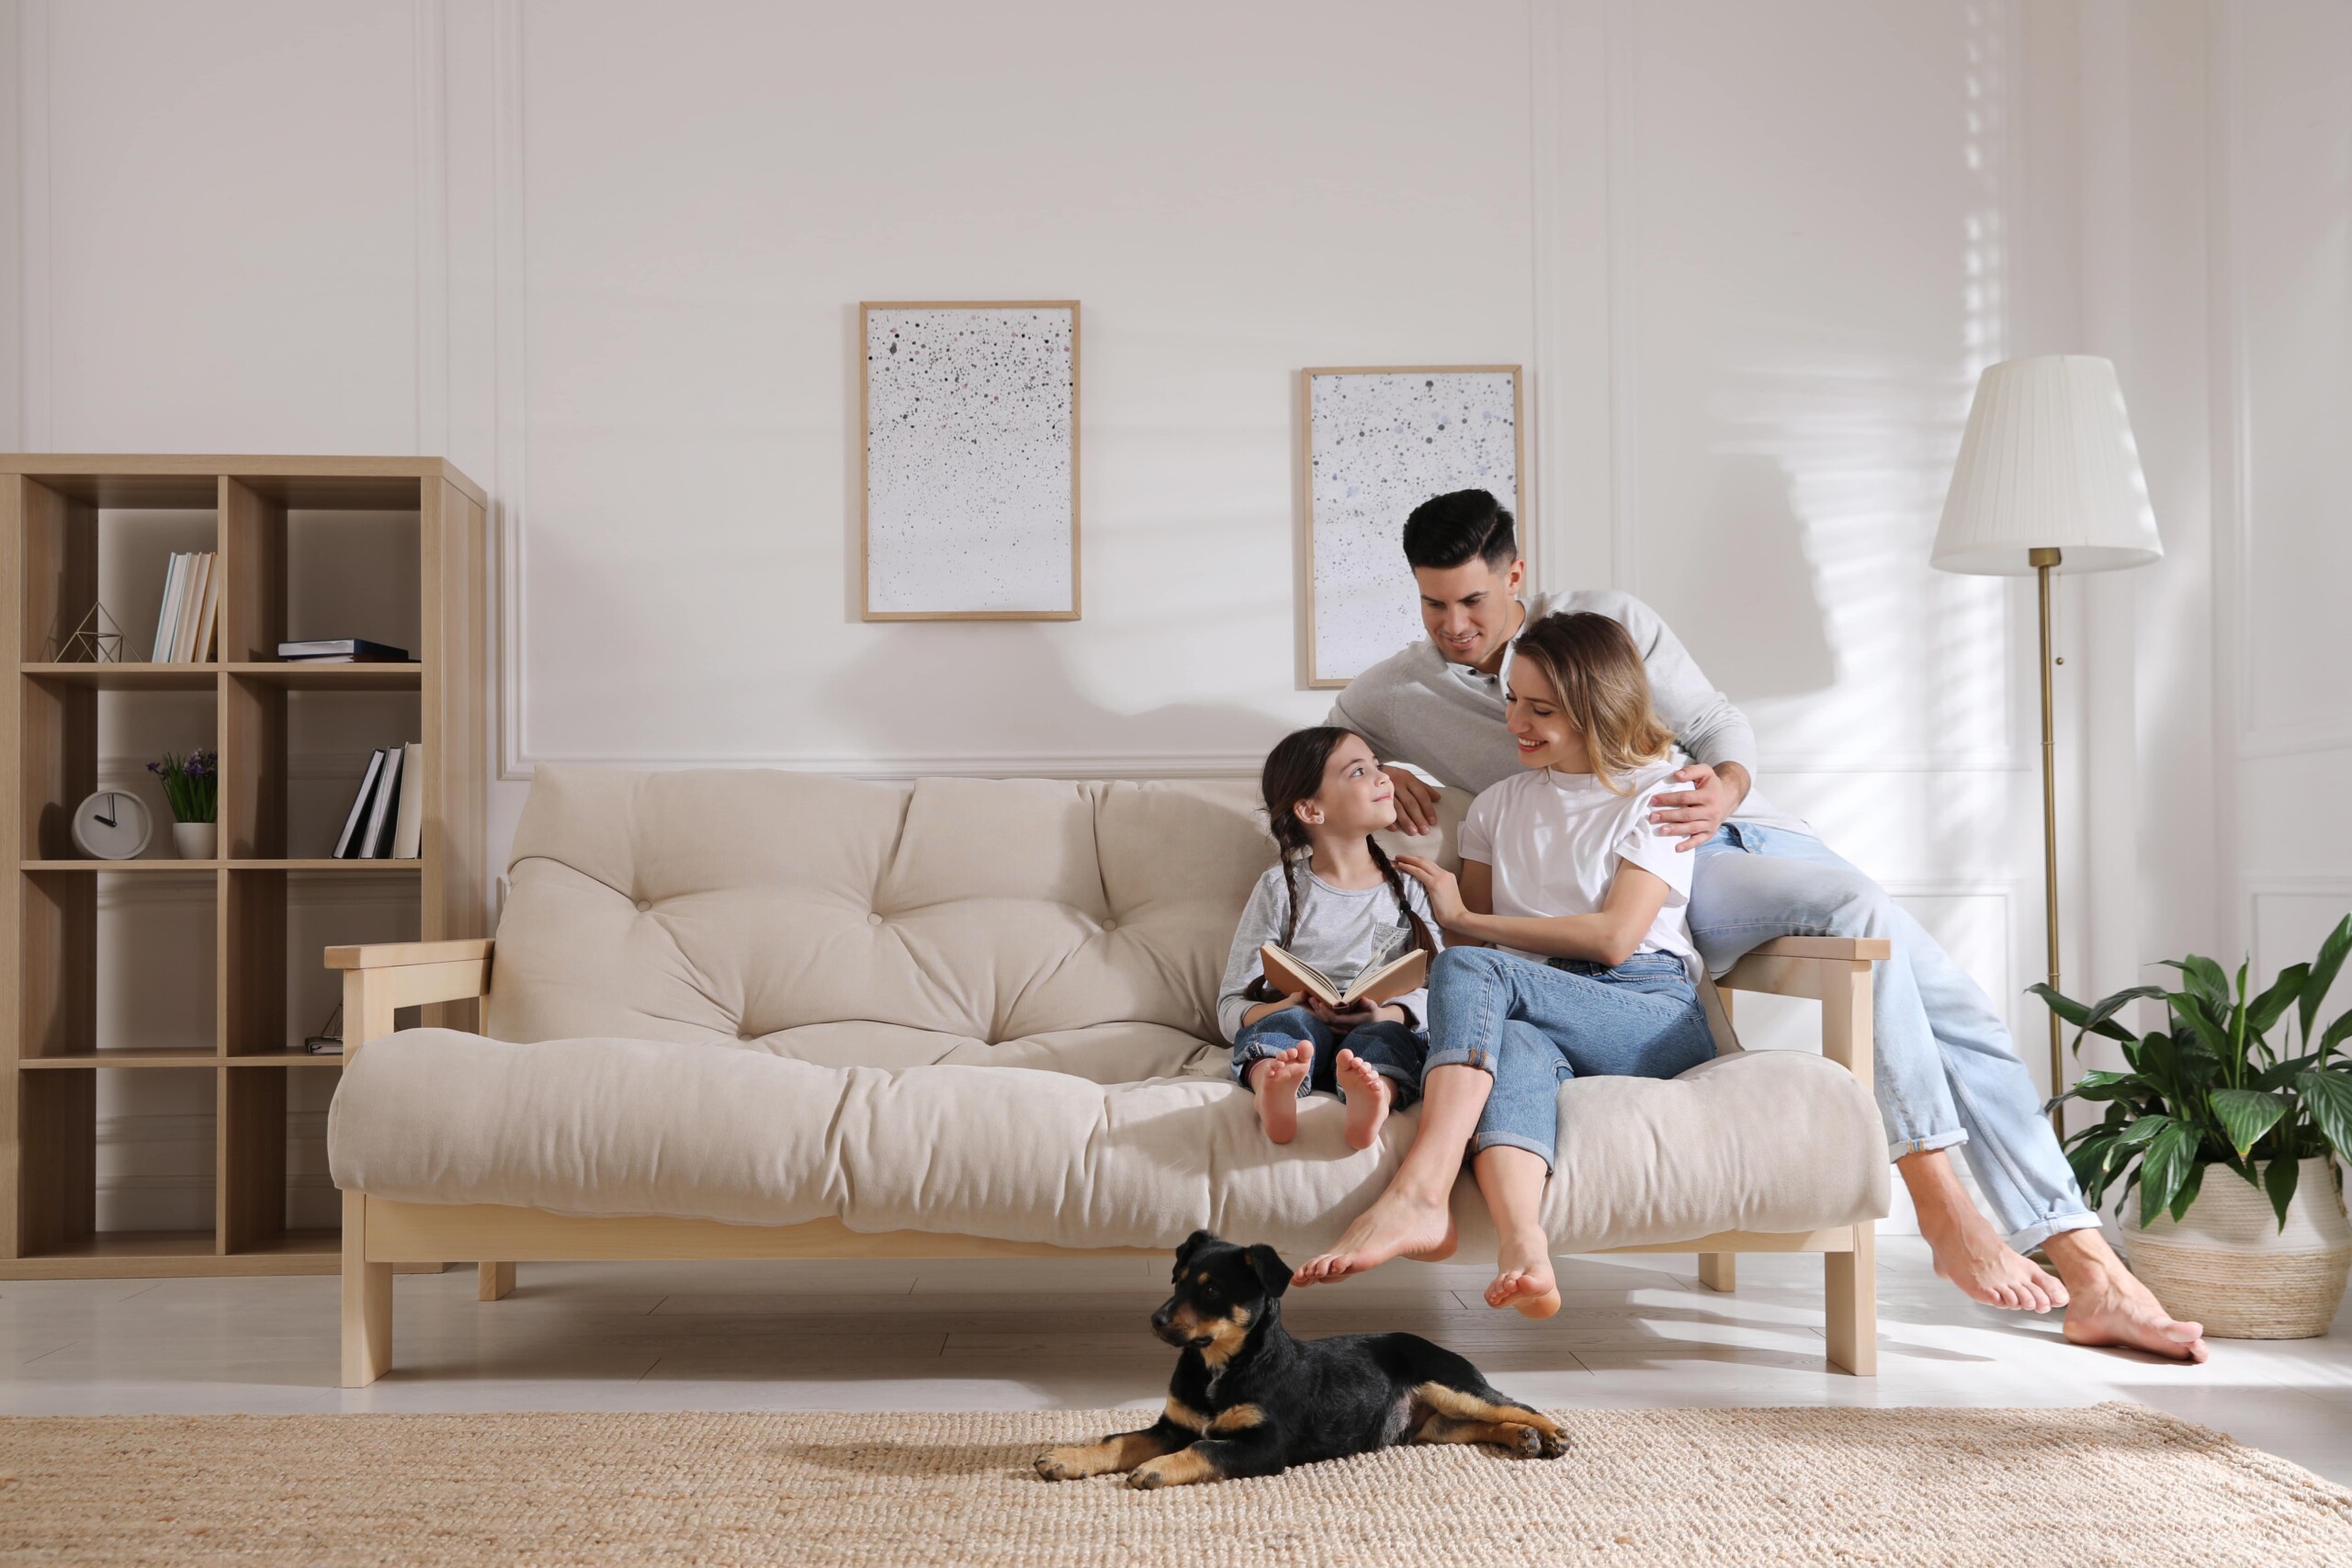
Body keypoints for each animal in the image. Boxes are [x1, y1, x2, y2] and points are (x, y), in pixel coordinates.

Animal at [1035, 1232, 1561, 1495]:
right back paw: (1522, 1439)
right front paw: (1066, 1458)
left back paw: (1552, 1433)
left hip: (1449, 1383)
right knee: (1482, 1424)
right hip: (1433, 1425)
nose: (1156, 1320)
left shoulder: (1266, 1445)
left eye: (1211, 1289)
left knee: (1512, 1404)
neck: (1218, 1366)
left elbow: (1204, 1448)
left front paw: (1157, 1469)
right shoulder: (1173, 1424)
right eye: (1177, 1279)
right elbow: (1118, 1440)